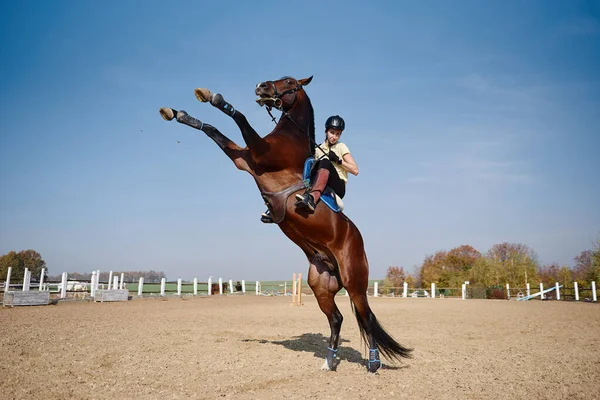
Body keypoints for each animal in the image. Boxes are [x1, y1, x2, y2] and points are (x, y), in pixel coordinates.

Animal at [159, 75, 412, 372]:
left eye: (289, 81)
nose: (261, 87)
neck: (291, 136)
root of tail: (357, 242)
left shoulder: (259, 153)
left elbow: (239, 117)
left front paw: (216, 99)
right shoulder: (244, 159)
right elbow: (213, 131)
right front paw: (181, 114)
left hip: (355, 282)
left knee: (367, 317)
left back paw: (373, 362)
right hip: (320, 284)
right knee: (337, 318)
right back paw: (329, 361)